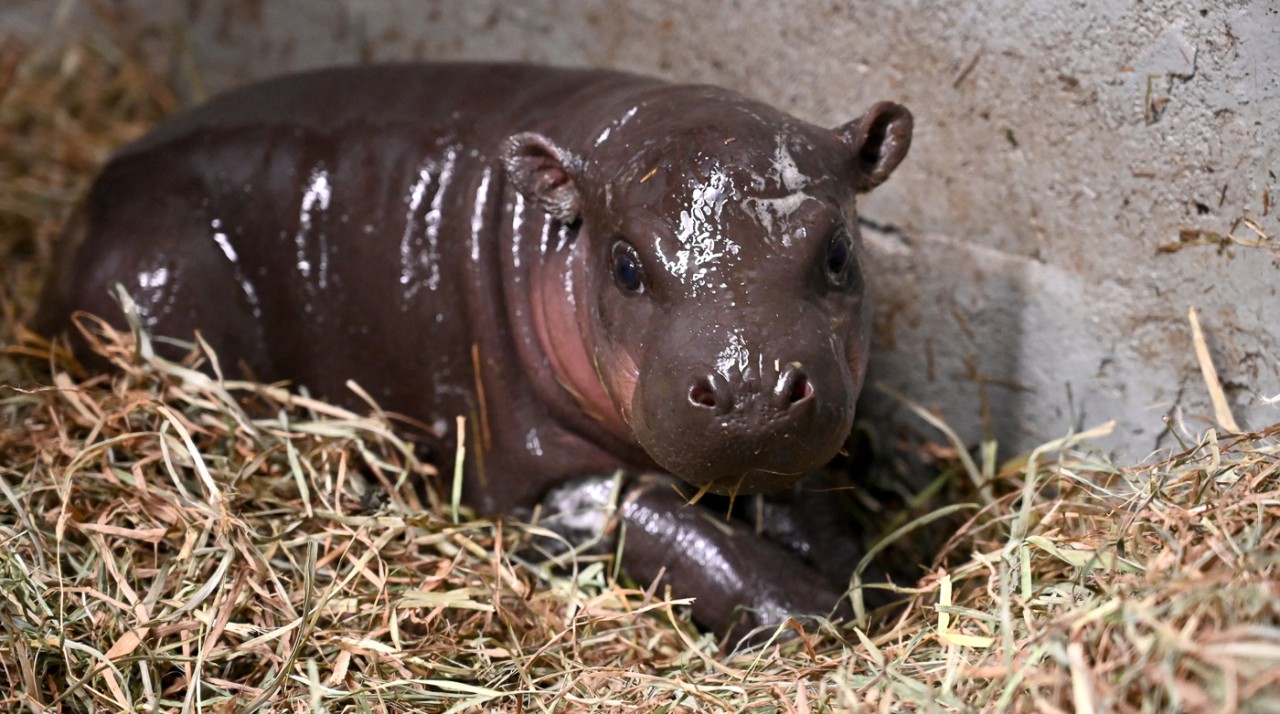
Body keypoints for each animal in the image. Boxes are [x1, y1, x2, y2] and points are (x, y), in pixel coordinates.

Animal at [35, 63, 912, 642]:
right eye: (626, 264)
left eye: (838, 251)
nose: (750, 385)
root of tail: (90, 195)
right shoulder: (535, 475)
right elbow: (666, 524)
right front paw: (810, 612)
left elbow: (798, 497)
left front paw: (865, 577)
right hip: (156, 273)